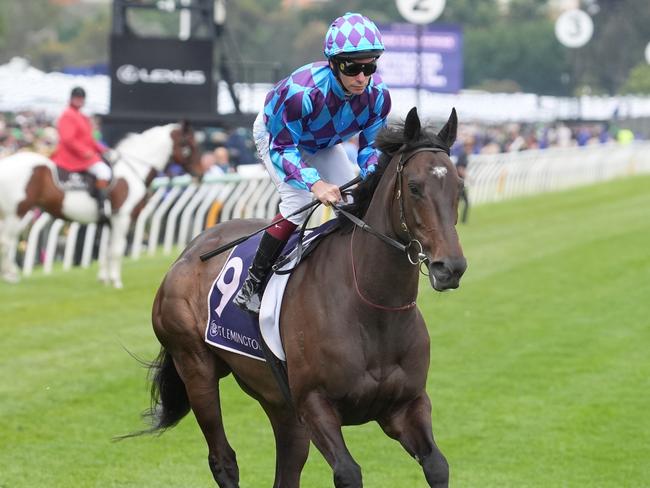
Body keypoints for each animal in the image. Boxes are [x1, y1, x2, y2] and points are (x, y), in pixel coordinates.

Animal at [0, 122, 200, 288]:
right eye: (189, 145)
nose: (201, 172)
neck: (133, 170)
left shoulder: (110, 221)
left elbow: (105, 249)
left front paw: (105, 278)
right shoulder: (122, 218)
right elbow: (116, 250)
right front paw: (116, 281)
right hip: (16, 212)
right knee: (6, 242)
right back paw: (9, 276)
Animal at [140, 107, 466, 488]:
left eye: (457, 186)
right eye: (414, 187)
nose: (451, 267)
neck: (372, 309)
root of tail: (188, 252)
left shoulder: (404, 405)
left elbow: (437, 465)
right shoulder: (315, 404)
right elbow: (348, 472)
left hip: (280, 404)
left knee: (287, 465)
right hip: (196, 367)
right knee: (223, 459)